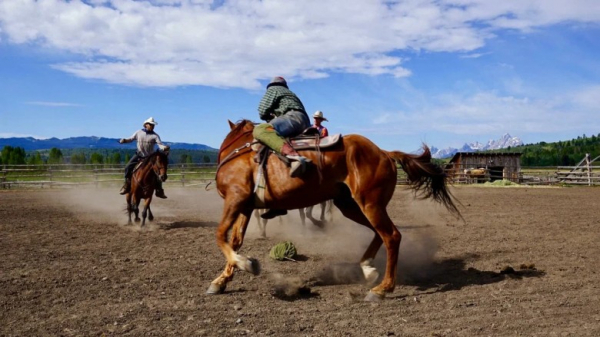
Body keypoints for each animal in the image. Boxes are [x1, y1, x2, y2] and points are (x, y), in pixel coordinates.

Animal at [209, 120, 462, 300]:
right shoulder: (245, 206)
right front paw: (221, 281)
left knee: (391, 236)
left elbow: (221, 236)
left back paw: (382, 289)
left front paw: (246, 263)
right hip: (351, 205)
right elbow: (235, 241)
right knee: (379, 233)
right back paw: (367, 268)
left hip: (369, 204)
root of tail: (384, 153)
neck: (240, 152)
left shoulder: (235, 199)